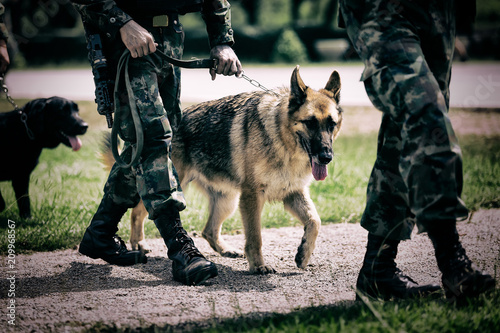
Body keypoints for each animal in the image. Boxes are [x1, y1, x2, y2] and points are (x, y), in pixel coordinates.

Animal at [112, 66, 342, 274]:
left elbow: (315, 221)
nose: (327, 157)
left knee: (209, 231)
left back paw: (226, 251)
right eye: (310, 123)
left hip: (227, 201)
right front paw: (258, 266)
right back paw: (139, 244)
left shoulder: (293, 194)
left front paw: (303, 254)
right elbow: (255, 236)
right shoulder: (252, 197)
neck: (282, 140)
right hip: (173, 188)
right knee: (138, 211)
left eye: (331, 124)